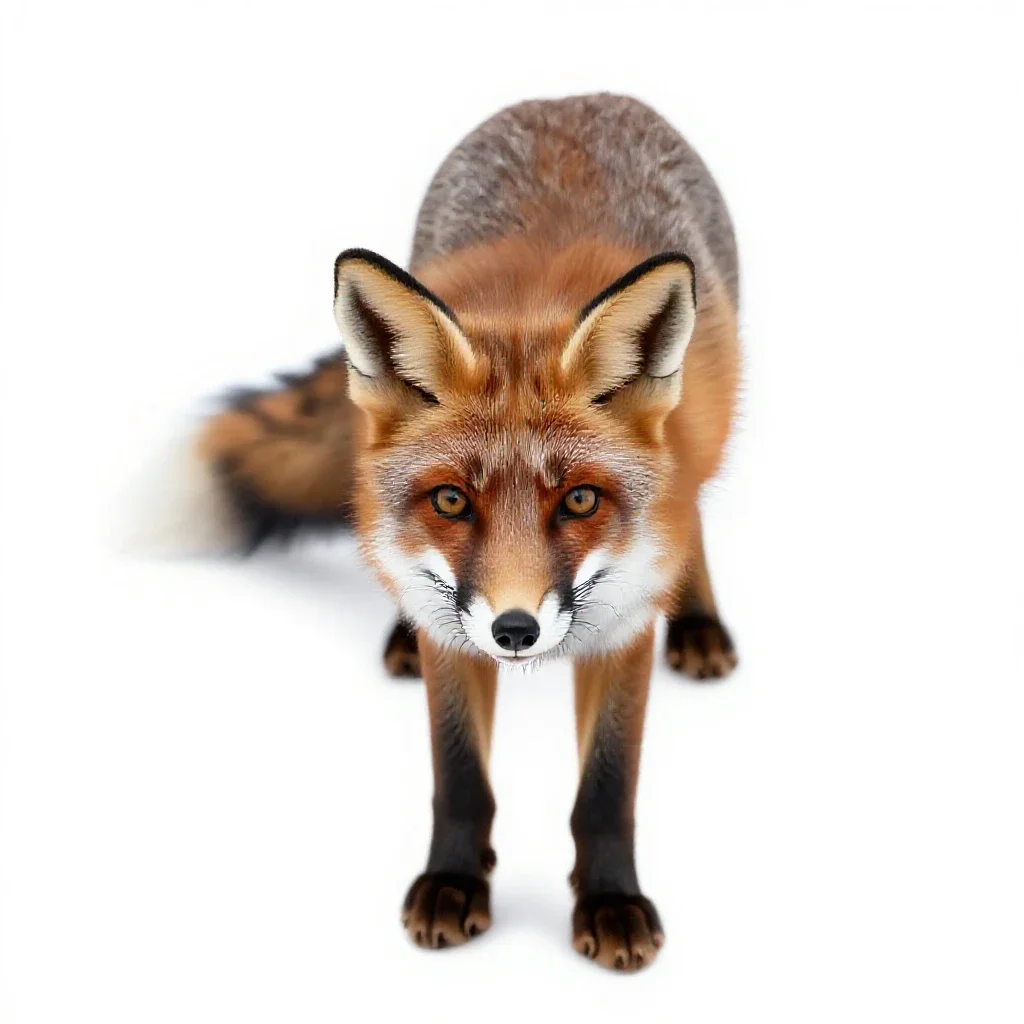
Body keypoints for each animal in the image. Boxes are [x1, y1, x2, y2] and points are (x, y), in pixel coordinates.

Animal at [182, 94, 741, 971]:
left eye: (579, 502)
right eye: (450, 501)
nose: (514, 631)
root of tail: (576, 96)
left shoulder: (622, 627)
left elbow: (606, 789)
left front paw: (610, 900)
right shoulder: (455, 633)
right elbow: (459, 778)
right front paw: (453, 882)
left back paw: (701, 621)